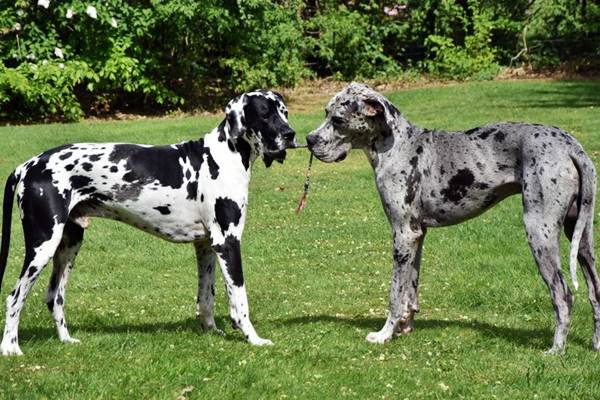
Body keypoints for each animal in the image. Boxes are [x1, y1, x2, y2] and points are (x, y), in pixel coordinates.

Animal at [0, 90, 296, 354]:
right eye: (264, 113)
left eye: (284, 112)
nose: (291, 135)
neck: (224, 155)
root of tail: (27, 165)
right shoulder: (228, 243)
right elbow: (239, 299)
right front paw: (252, 338)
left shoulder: (206, 246)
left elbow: (206, 298)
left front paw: (212, 332)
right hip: (42, 246)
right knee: (15, 297)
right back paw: (11, 348)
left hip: (68, 246)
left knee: (54, 297)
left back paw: (66, 340)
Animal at [308, 82, 596, 354]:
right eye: (325, 112)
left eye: (338, 119)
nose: (309, 139)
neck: (398, 147)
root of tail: (570, 145)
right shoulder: (416, 236)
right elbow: (410, 290)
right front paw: (405, 326)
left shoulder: (402, 234)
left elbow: (395, 293)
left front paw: (384, 334)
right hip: (581, 237)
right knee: (595, 291)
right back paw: (595, 345)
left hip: (539, 233)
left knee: (564, 296)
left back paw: (556, 349)